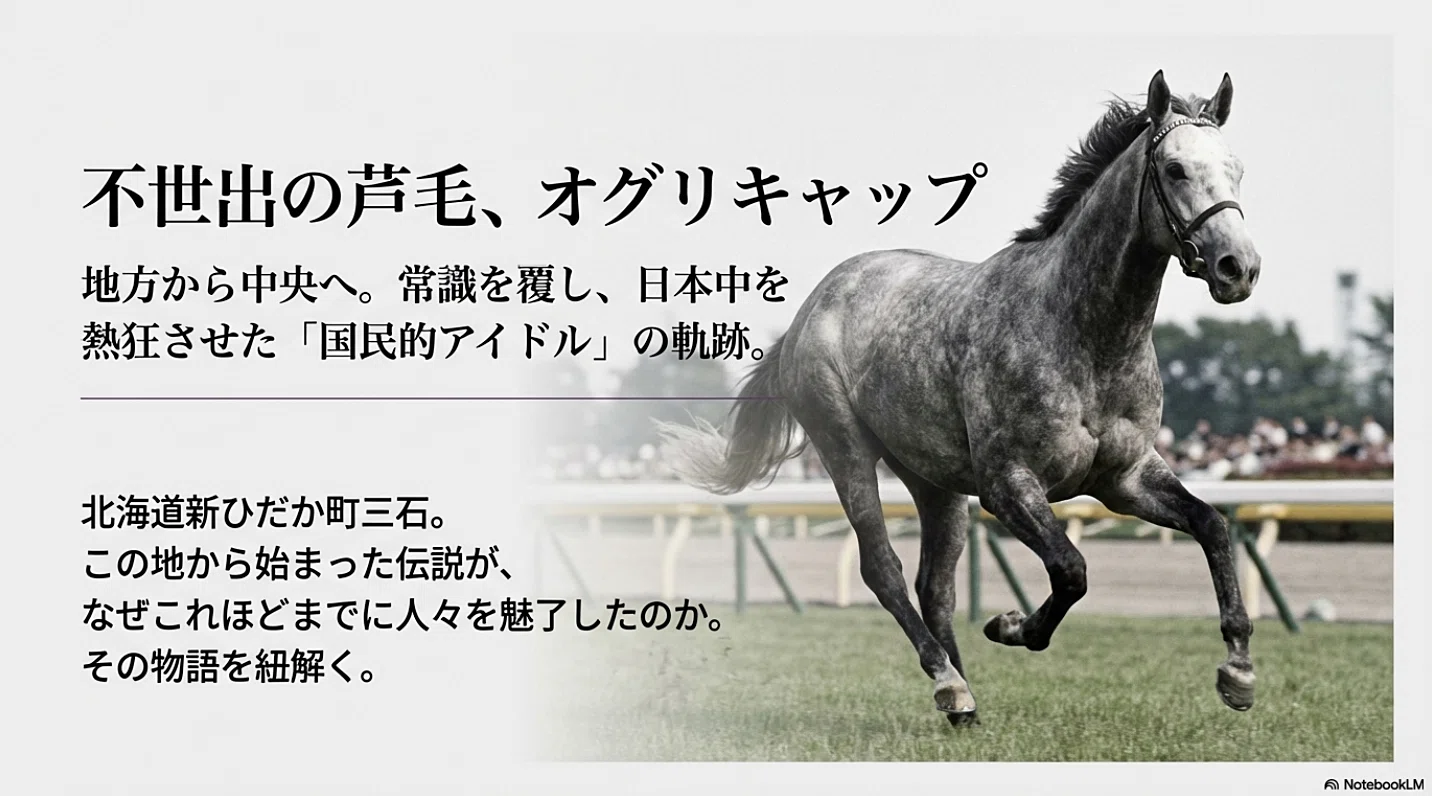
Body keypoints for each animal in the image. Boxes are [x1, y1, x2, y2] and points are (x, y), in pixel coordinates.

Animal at [656, 70, 1260, 726]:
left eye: (1238, 168)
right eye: (1175, 169)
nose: (1238, 267)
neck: (1082, 332)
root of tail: (810, 309)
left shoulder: (1124, 478)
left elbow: (1211, 526)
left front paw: (1238, 672)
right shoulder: (1006, 483)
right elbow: (1071, 570)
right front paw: (1010, 625)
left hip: (935, 482)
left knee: (934, 586)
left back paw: (963, 701)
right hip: (845, 449)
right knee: (884, 569)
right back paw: (948, 682)